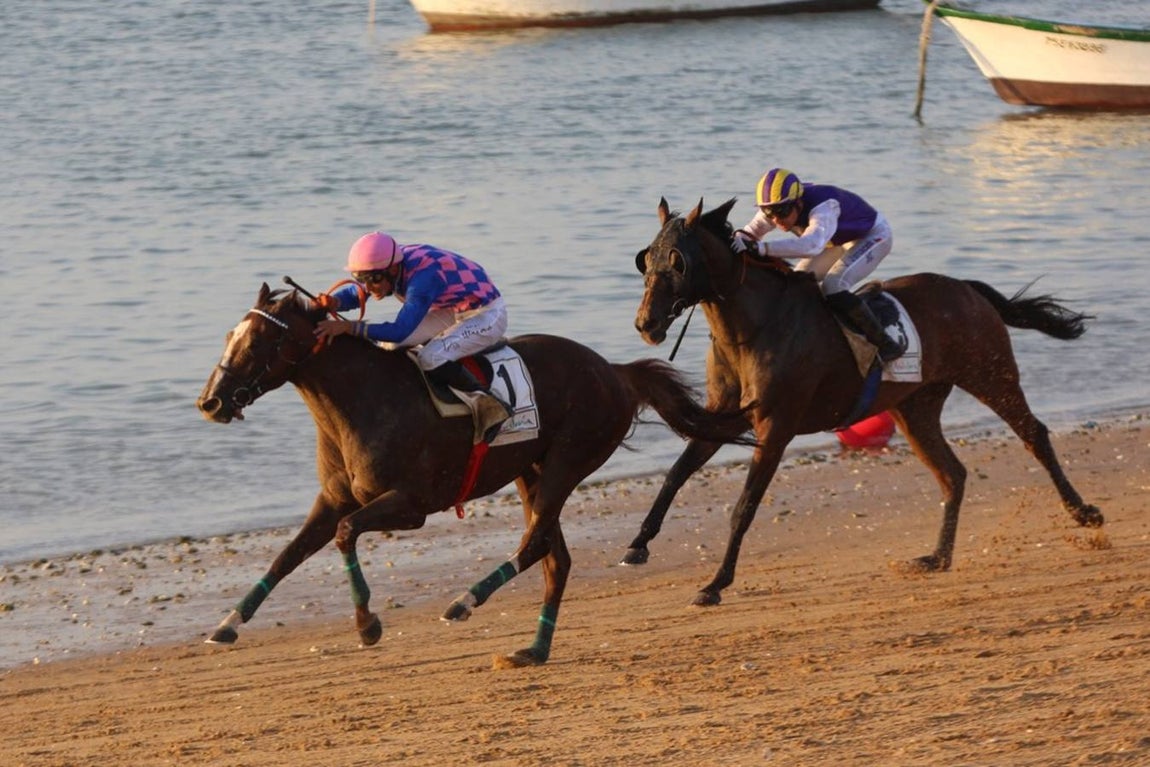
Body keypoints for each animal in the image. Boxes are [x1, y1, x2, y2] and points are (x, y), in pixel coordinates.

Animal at [196, 282, 753, 666]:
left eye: (258, 341)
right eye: (229, 336)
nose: (211, 402)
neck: (364, 398)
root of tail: (616, 372)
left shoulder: (411, 505)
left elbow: (345, 533)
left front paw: (367, 624)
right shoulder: (334, 497)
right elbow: (288, 554)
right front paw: (226, 624)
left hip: (567, 462)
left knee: (535, 546)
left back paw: (464, 602)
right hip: (532, 472)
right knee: (556, 559)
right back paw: (533, 650)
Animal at [630, 197, 1103, 607]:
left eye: (677, 260)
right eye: (646, 260)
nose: (645, 323)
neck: (755, 328)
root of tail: (967, 289)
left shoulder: (775, 428)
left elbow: (743, 507)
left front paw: (716, 583)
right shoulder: (722, 417)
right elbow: (675, 474)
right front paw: (638, 545)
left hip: (990, 374)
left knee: (1033, 434)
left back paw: (1083, 512)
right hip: (916, 407)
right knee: (952, 474)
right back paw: (935, 557)